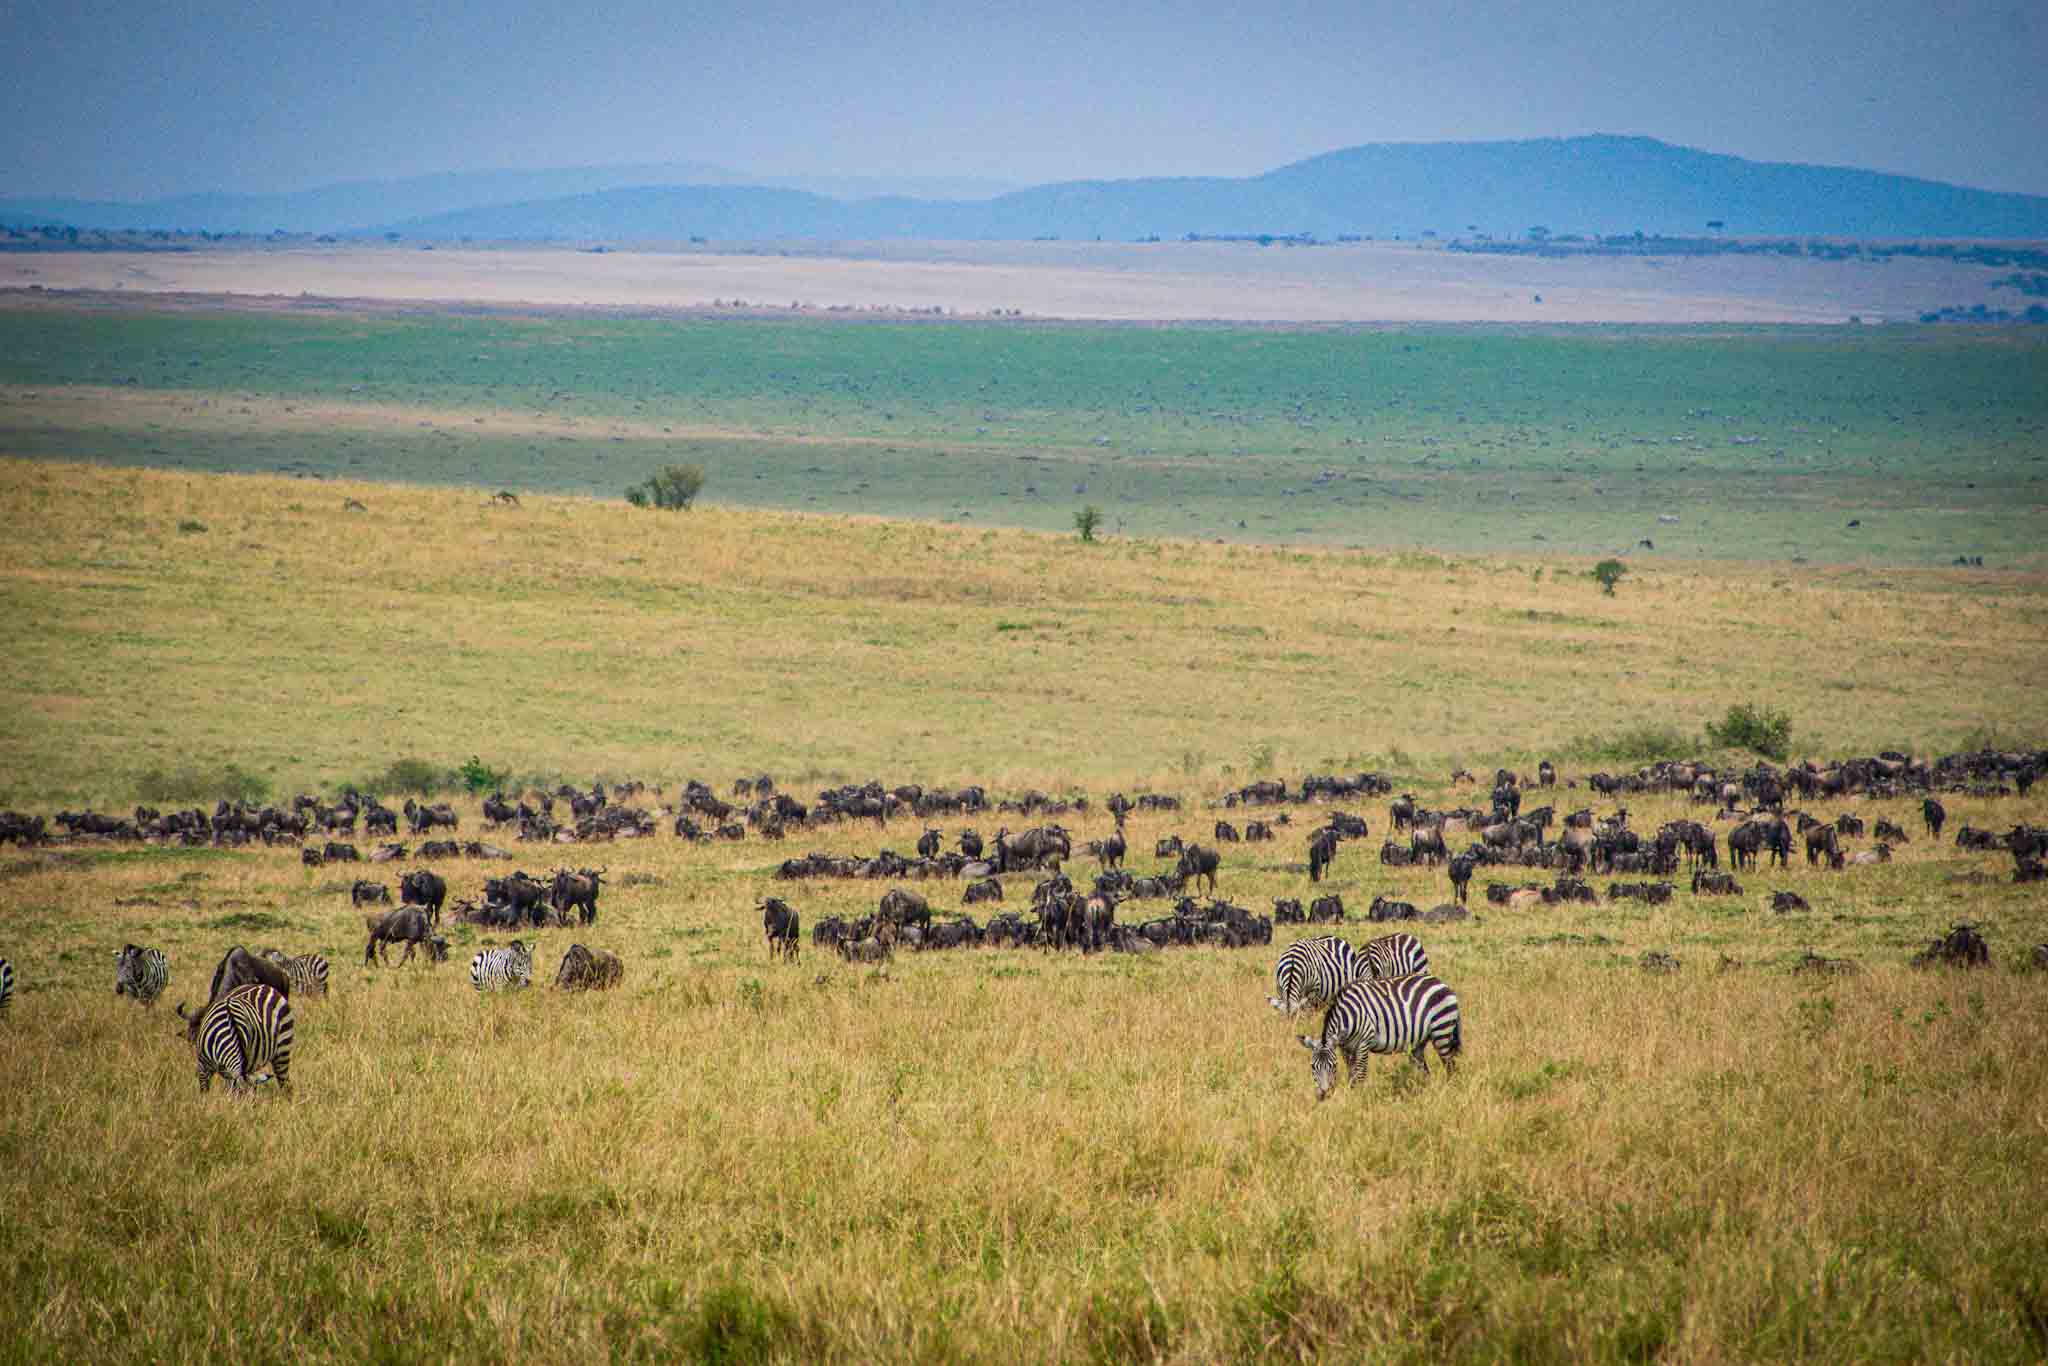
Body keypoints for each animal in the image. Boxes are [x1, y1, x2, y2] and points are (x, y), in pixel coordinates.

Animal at [1294, 970, 1458, 1097]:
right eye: (1312, 1066)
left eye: (1333, 1065)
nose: (1324, 1094)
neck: (1349, 1014)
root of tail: (1440, 982)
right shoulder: (1345, 1048)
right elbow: (1351, 1073)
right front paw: (1350, 1095)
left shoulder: (1364, 1042)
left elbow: (1360, 1074)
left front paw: (1357, 1098)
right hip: (1418, 1042)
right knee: (1424, 1071)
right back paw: (1423, 1091)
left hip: (1442, 1030)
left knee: (1450, 1065)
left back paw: (1449, 1090)